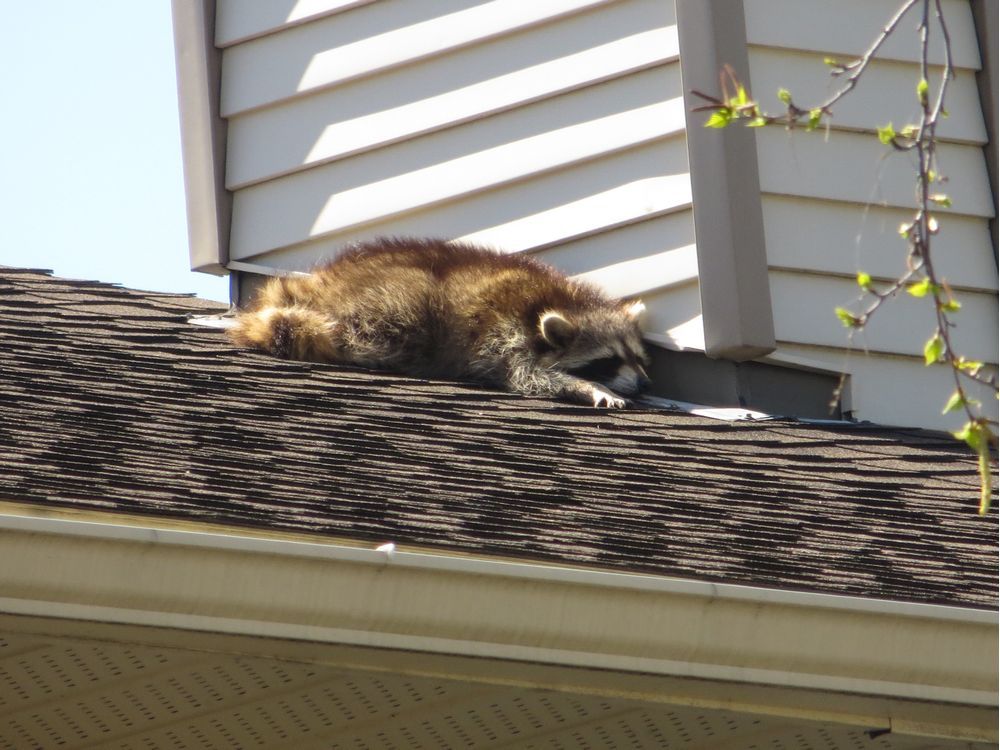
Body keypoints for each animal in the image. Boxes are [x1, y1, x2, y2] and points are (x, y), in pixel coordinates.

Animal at [230, 238, 651, 407]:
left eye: (638, 357)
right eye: (609, 360)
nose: (645, 383)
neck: (565, 302)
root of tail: (316, 285)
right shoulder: (508, 336)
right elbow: (531, 377)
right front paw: (589, 387)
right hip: (394, 303)